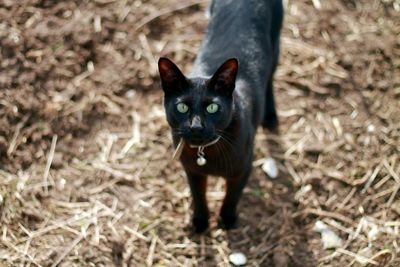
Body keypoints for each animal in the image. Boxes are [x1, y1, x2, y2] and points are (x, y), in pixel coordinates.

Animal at [158, 0, 282, 233]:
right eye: (182, 107)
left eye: (212, 108)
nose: (196, 126)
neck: (205, 153)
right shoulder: (192, 171)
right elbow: (198, 195)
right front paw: (200, 222)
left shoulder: (242, 170)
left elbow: (232, 196)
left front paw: (227, 219)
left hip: (275, 43)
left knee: (270, 75)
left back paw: (270, 116)